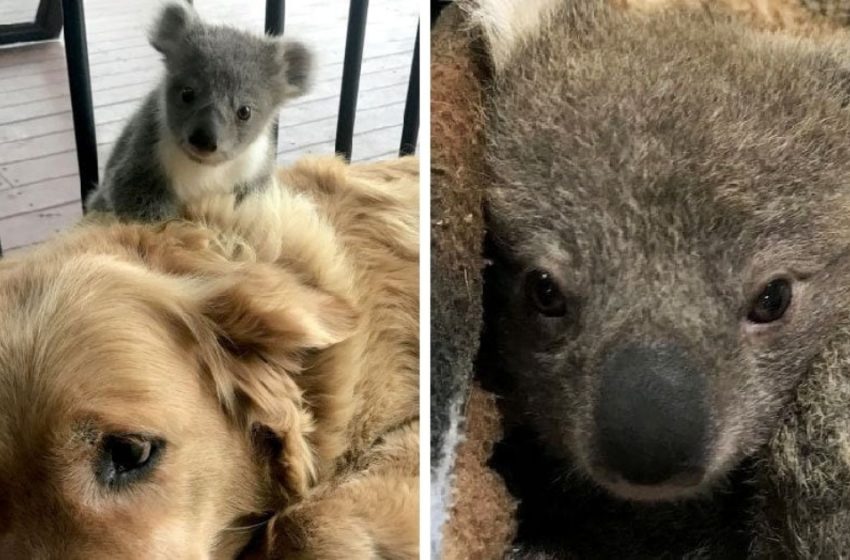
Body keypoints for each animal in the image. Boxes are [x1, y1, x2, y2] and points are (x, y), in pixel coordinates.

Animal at [86, 1, 314, 221]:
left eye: (245, 111)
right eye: (187, 94)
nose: (203, 139)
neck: (207, 168)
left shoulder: (254, 173)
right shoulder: (146, 152)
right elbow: (135, 199)